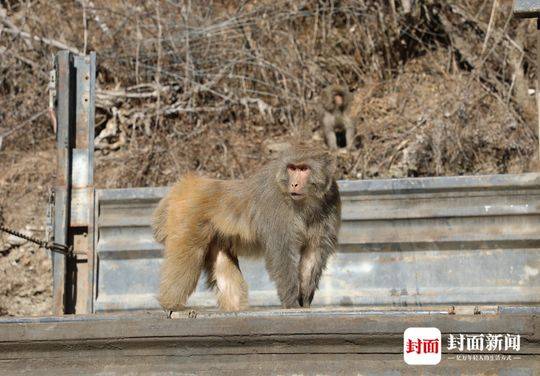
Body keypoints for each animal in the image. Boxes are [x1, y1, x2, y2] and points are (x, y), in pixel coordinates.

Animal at [152, 143, 340, 312]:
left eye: (304, 169)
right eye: (292, 168)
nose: (294, 184)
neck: (306, 202)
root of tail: (185, 185)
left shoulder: (331, 199)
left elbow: (313, 253)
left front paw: (305, 301)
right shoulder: (276, 207)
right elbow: (282, 254)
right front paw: (292, 303)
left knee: (221, 262)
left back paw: (234, 307)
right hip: (186, 219)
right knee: (187, 254)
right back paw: (171, 303)